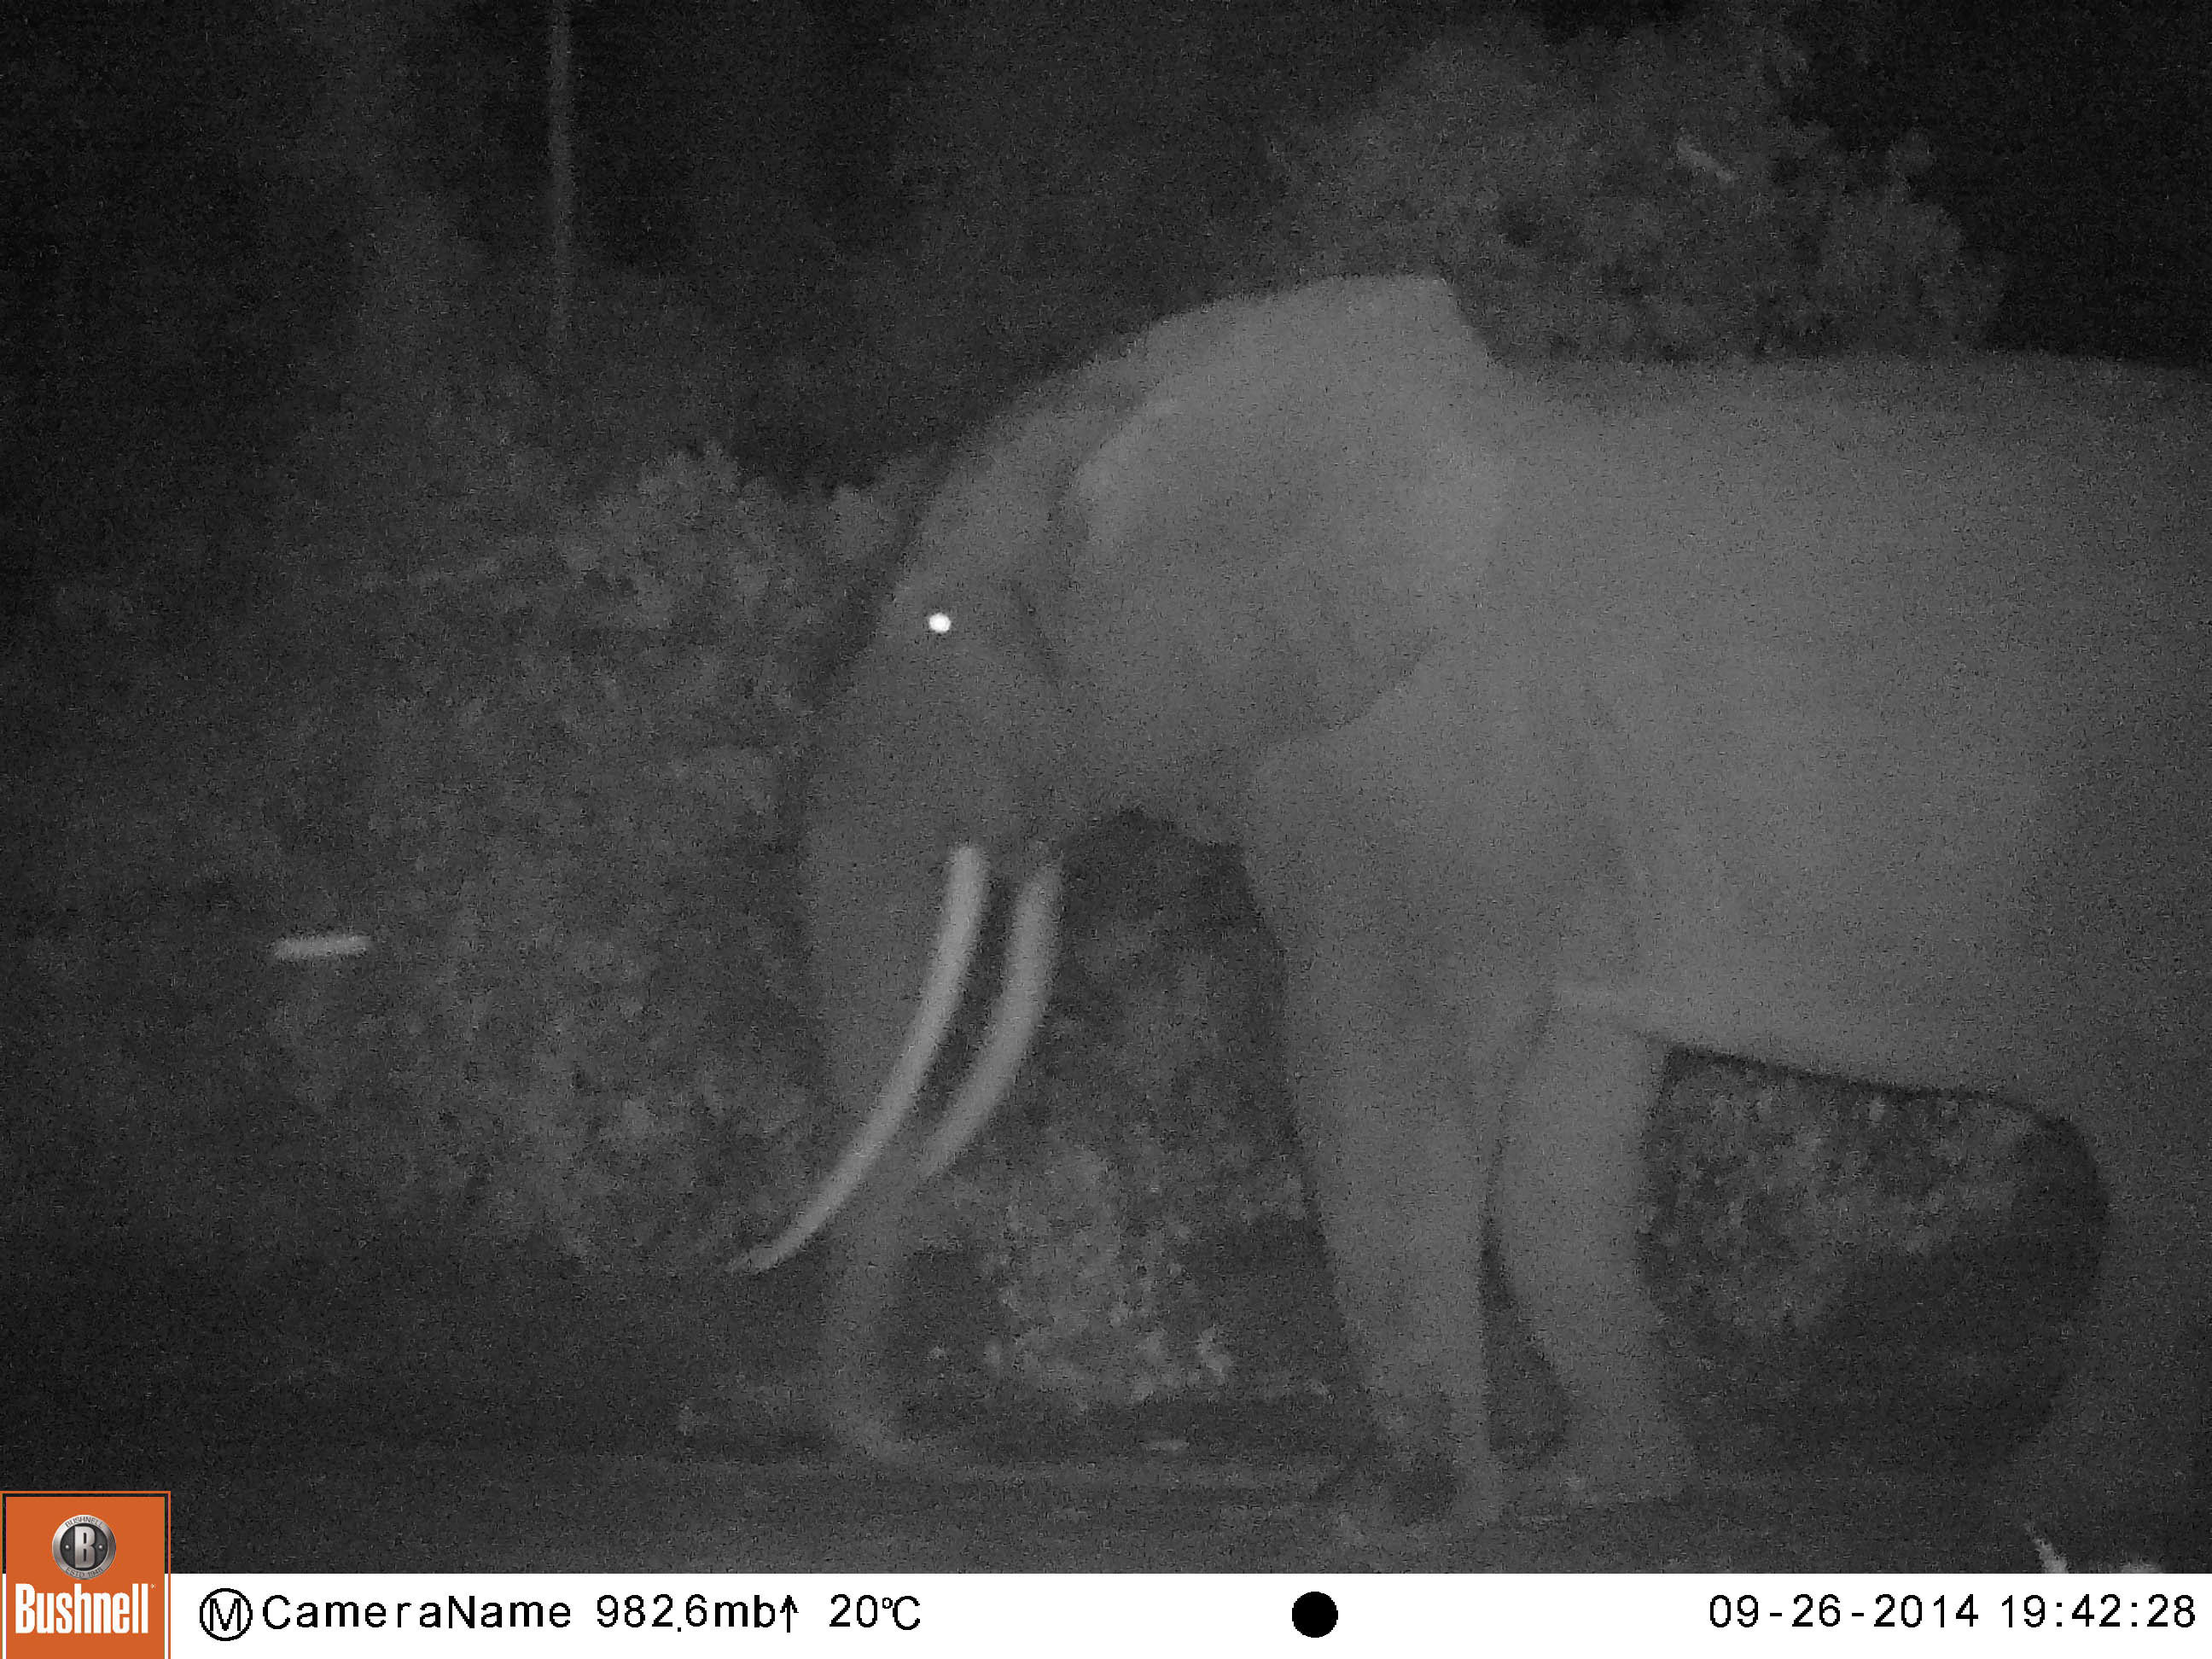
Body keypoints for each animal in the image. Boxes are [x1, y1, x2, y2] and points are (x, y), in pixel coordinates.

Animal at [752, 276, 2203, 1530]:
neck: (1176, 398)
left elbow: (1371, 1066)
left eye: (939, 629)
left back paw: (2050, 1503)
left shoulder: (1424, 770)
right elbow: (1567, 1114)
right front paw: (1597, 1491)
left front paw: (1375, 1519)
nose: (937, 1440)